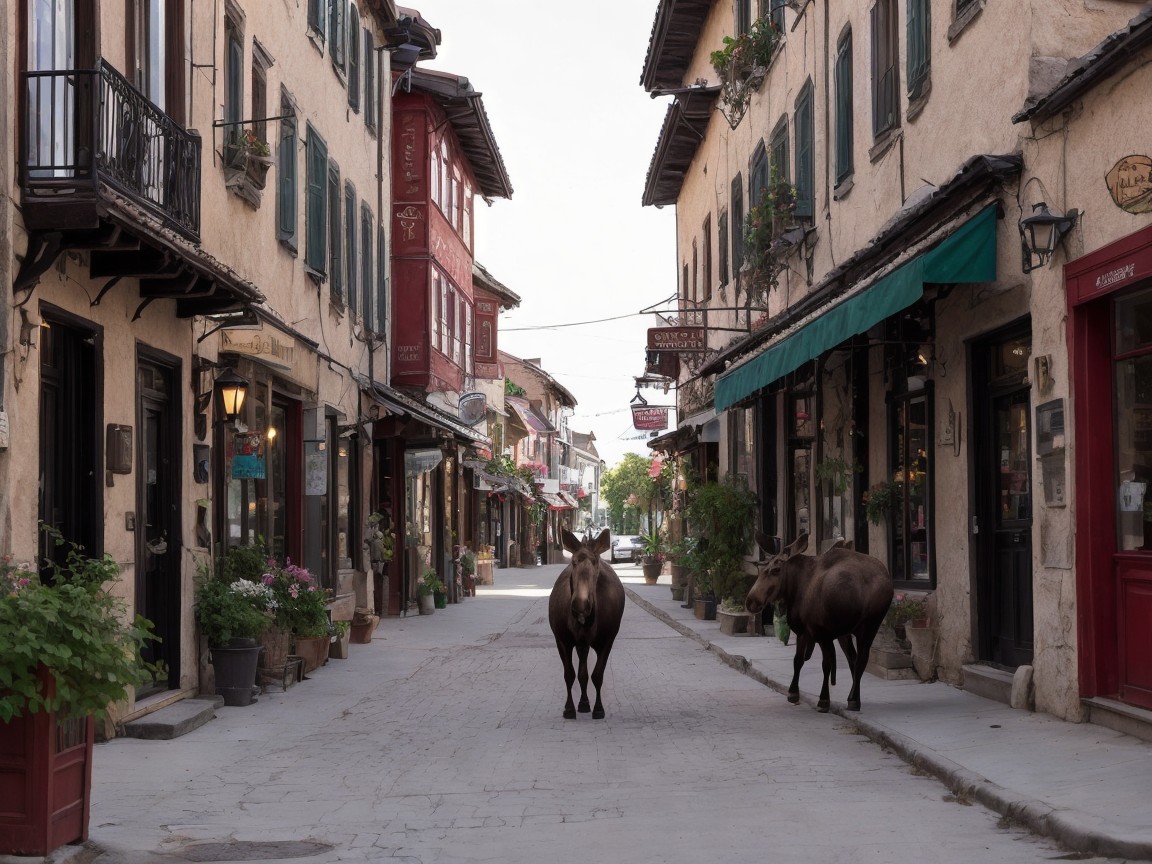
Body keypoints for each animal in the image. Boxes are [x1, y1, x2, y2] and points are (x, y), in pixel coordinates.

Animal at [548, 528, 625, 719]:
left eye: (596, 562)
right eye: (573, 562)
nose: (580, 605)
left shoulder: (607, 639)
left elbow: (597, 675)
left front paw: (598, 708)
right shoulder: (562, 640)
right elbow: (570, 675)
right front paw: (569, 708)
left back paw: (585, 703)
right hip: (580, 643)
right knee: (581, 671)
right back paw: (583, 703)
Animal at [746, 532, 893, 713]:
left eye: (775, 570)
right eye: (761, 570)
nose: (751, 601)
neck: (794, 587)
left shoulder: (817, 633)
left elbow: (823, 664)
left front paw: (822, 699)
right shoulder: (809, 633)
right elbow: (798, 661)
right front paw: (795, 693)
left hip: (864, 627)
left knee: (856, 660)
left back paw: (852, 698)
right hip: (860, 629)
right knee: (857, 659)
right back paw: (854, 698)